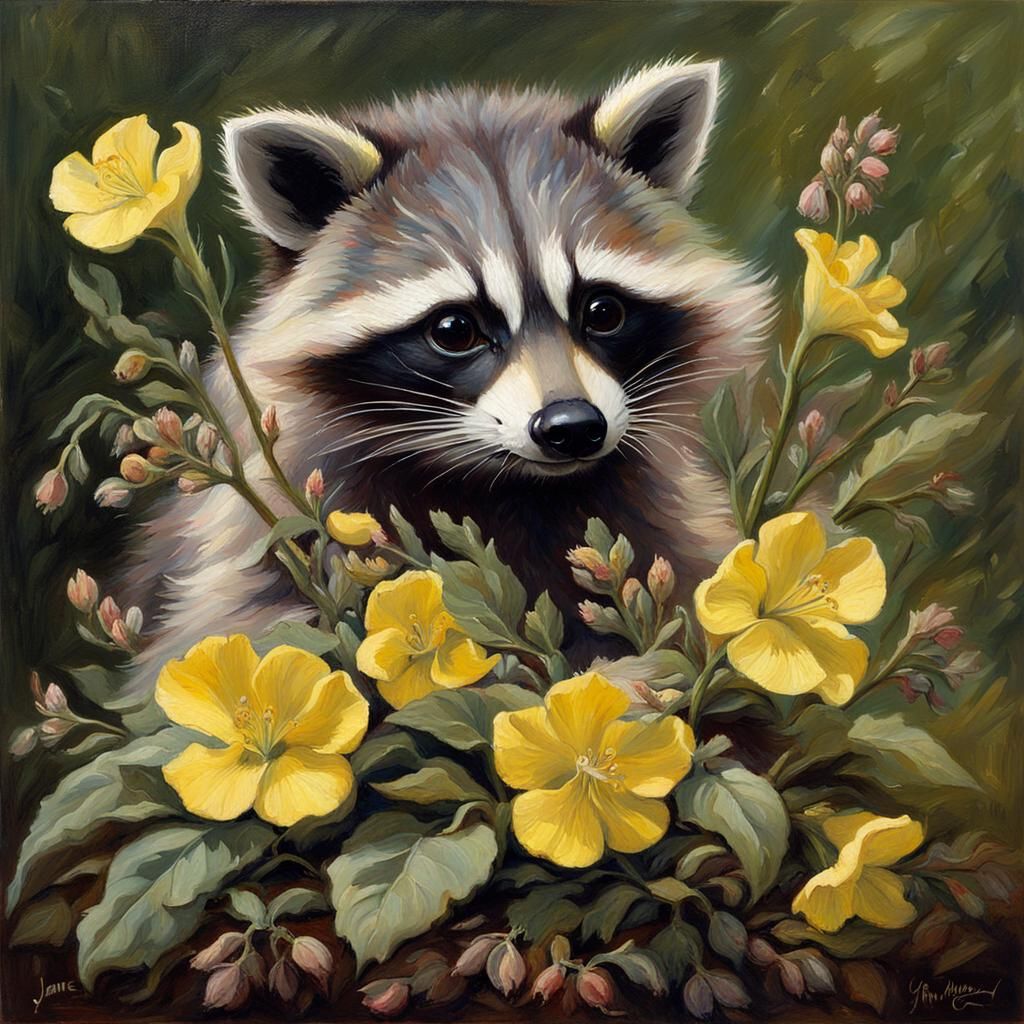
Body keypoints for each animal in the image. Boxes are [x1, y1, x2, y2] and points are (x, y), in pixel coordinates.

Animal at [120, 60, 773, 716]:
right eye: (456, 329)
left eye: (603, 311)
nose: (572, 427)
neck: (515, 490)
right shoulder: (263, 550)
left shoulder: (666, 519)